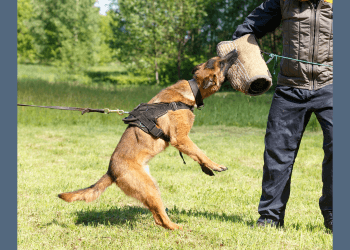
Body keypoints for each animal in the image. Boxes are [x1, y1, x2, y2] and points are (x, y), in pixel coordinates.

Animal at [58, 49, 239, 229]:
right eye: (222, 63)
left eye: (218, 59)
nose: (235, 51)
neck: (192, 89)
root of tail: (111, 171)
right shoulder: (180, 138)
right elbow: (200, 152)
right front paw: (215, 165)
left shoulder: (182, 141)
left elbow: (196, 154)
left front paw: (207, 168)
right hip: (149, 187)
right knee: (161, 218)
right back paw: (176, 227)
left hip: (150, 186)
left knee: (157, 217)